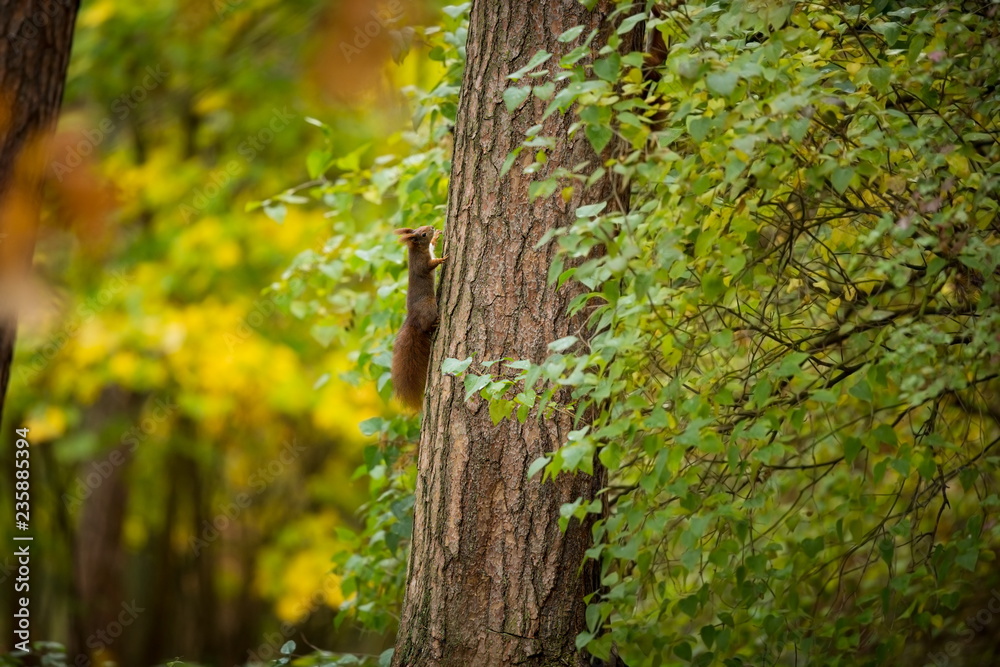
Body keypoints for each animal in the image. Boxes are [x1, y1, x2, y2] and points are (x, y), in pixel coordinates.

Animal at [391, 226, 446, 410]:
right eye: (422, 234)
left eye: (423, 228)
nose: (432, 227)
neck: (419, 249)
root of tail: (412, 318)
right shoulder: (421, 264)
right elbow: (429, 265)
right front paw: (442, 259)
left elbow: (433, 246)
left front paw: (436, 238)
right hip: (428, 306)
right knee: (425, 326)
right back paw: (434, 324)